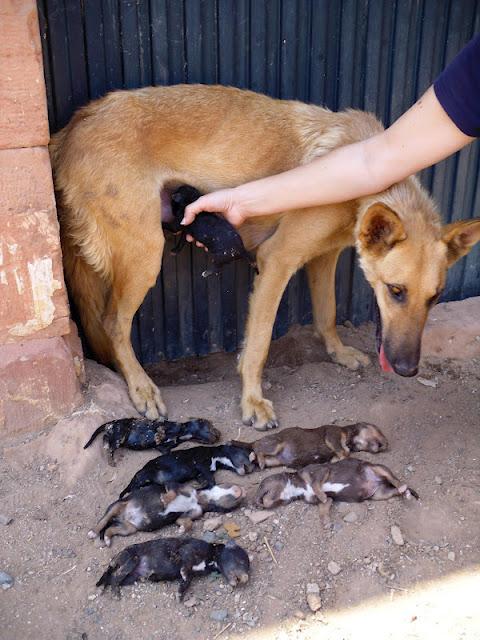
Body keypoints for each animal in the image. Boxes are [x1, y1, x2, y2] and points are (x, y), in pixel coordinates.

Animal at [49, 81, 480, 430]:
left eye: (436, 298)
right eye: (395, 291)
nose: (407, 370)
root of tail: (74, 125)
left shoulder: (323, 257)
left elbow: (327, 313)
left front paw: (338, 352)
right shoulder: (278, 260)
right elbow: (258, 344)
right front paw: (253, 401)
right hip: (146, 253)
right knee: (112, 323)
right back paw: (141, 387)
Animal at [85, 416, 221, 464]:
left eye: (212, 426)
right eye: (209, 431)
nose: (219, 435)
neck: (181, 430)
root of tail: (111, 423)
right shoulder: (161, 445)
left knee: (106, 438)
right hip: (119, 436)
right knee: (110, 446)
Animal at [95, 536, 249, 600]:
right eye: (241, 561)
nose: (246, 578)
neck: (211, 558)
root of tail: (116, 556)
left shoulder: (192, 572)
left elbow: (187, 580)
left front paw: (180, 593)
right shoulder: (188, 552)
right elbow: (185, 570)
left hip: (131, 578)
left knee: (111, 578)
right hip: (131, 560)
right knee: (115, 577)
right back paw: (115, 594)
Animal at [118, 444, 256, 500]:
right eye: (243, 453)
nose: (250, 468)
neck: (215, 457)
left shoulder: (200, 473)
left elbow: (207, 480)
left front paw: (200, 486)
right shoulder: (200, 462)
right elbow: (211, 480)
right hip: (145, 474)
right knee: (131, 487)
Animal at [244, 420, 386, 470]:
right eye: (377, 430)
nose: (386, 444)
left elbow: (340, 455)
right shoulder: (332, 434)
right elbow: (343, 451)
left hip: (274, 460)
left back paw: (255, 459)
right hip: (275, 444)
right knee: (257, 446)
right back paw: (258, 460)